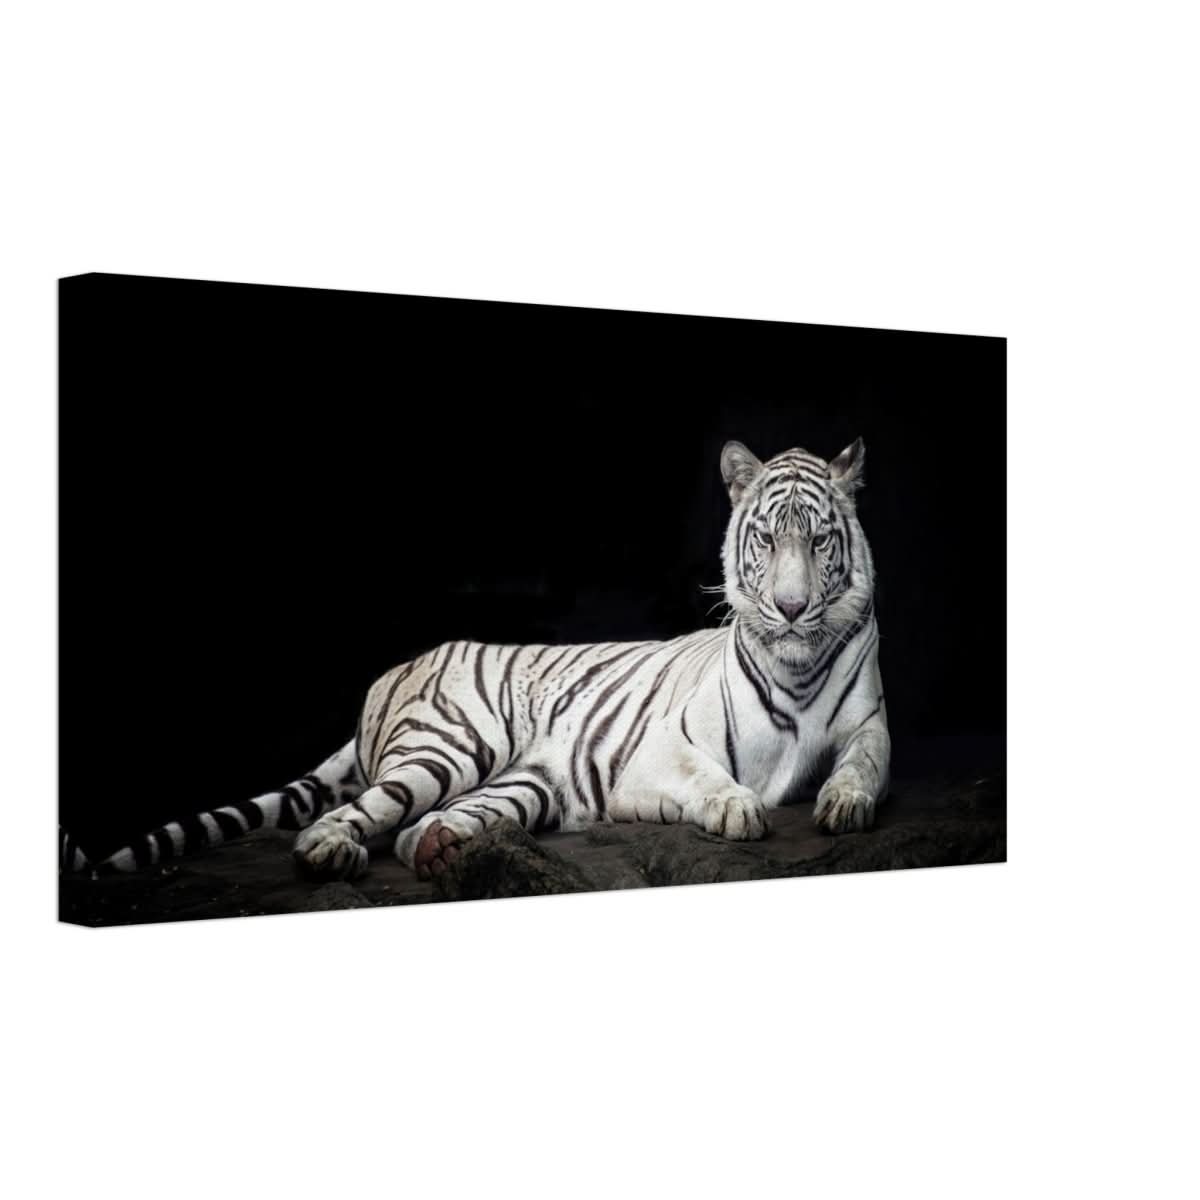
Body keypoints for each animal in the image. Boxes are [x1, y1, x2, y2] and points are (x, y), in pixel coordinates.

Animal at [65, 438, 890, 881]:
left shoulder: (870, 724)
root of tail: (394, 670)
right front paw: (737, 806)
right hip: (451, 747)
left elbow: (864, 764)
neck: (797, 664)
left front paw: (844, 803)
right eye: (767, 540)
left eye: (819, 539)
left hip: (529, 783)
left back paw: (439, 849)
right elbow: (707, 775)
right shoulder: (658, 753)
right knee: (346, 818)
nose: (790, 608)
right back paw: (330, 853)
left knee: (412, 831)